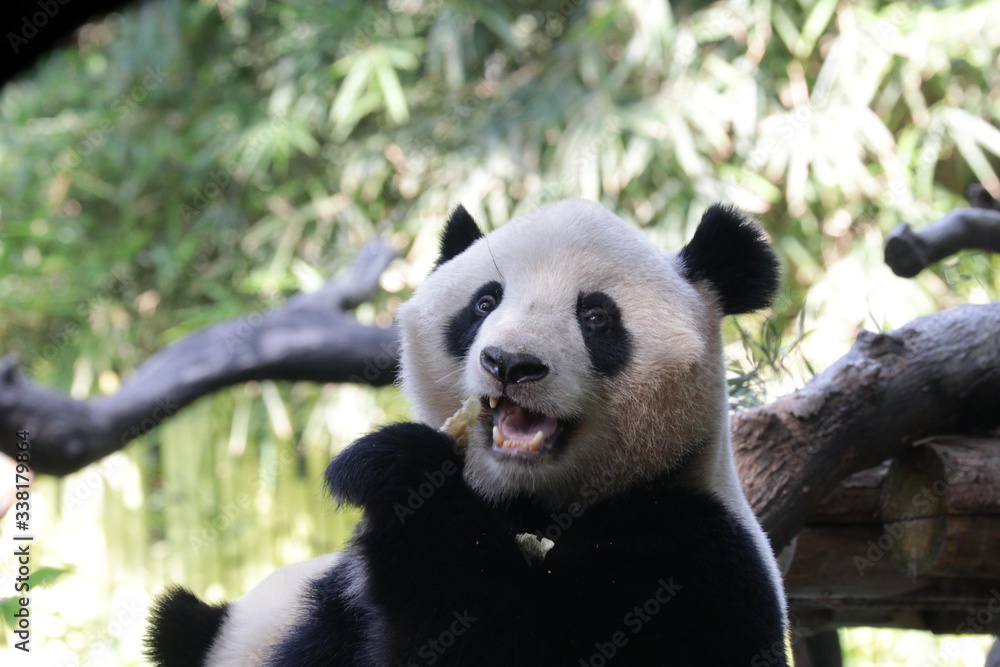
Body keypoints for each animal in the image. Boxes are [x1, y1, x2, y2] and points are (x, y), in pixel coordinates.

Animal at [146, 199, 789, 666]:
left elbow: (514, 640)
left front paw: (396, 468)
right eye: (484, 302)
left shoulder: (694, 554)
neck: (530, 498)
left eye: (596, 316)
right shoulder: (336, 603)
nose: (510, 364)